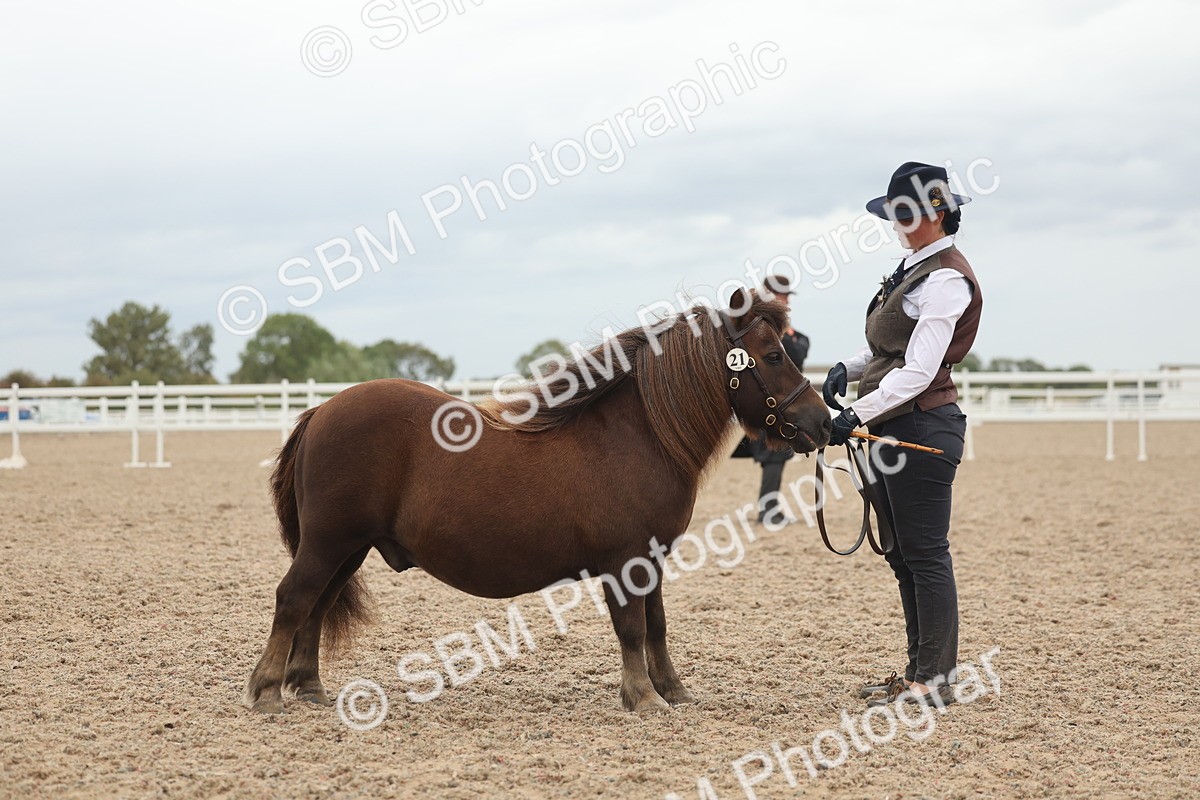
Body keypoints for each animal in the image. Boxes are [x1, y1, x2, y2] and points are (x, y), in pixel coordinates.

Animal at [245, 288, 832, 715]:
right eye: (774, 354)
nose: (823, 422)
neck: (636, 434)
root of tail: (321, 411)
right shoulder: (624, 562)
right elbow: (632, 627)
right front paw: (643, 698)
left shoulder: (653, 560)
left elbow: (657, 624)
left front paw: (672, 691)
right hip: (329, 542)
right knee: (293, 599)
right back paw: (268, 691)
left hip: (349, 549)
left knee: (317, 605)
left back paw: (309, 688)